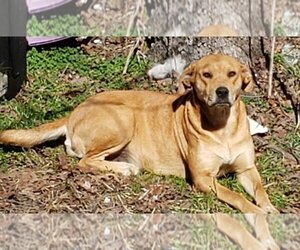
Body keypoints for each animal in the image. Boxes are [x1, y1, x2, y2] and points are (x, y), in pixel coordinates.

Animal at [0, 54, 276, 213]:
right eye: (206, 75)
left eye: (231, 74)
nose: (221, 91)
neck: (222, 127)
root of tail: (74, 111)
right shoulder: (203, 178)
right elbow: (236, 197)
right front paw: (256, 214)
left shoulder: (246, 169)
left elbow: (260, 190)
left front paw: (270, 209)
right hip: (124, 119)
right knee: (84, 162)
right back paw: (124, 169)